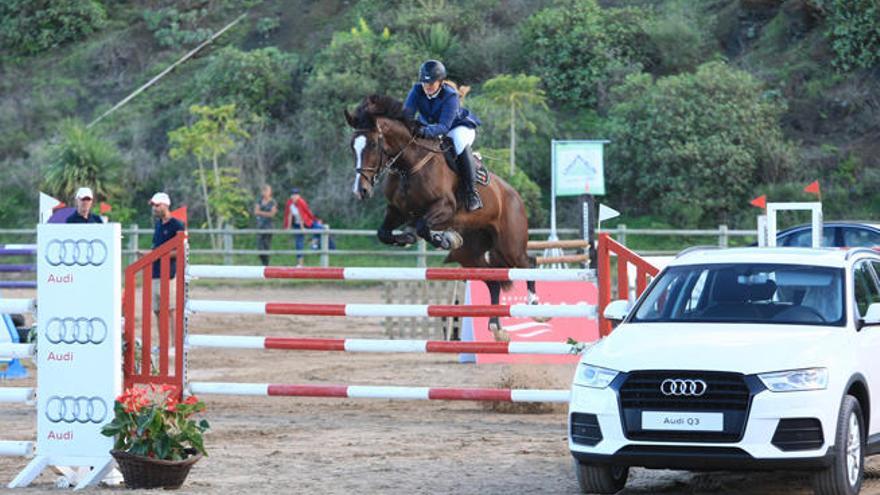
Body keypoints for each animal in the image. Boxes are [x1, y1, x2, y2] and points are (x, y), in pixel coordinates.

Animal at [346, 94, 540, 340]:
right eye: (352, 146)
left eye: (372, 144)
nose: (360, 191)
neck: (409, 165)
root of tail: (514, 194)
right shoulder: (397, 211)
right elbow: (385, 233)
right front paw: (407, 238)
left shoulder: (445, 208)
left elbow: (422, 226)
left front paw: (444, 239)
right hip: (471, 255)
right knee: (493, 282)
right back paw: (496, 326)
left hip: (510, 245)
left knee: (529, 262)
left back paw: (535, 307)